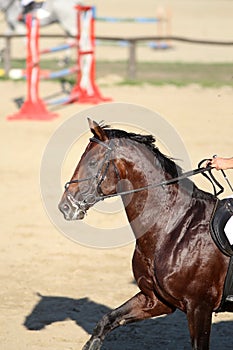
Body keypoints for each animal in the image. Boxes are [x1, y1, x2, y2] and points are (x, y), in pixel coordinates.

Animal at [59, 119, 232, 348]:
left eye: (93, 162)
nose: (65, 207)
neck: (173, 226)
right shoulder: (156, 299)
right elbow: (107, 321)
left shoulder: (199, 307)